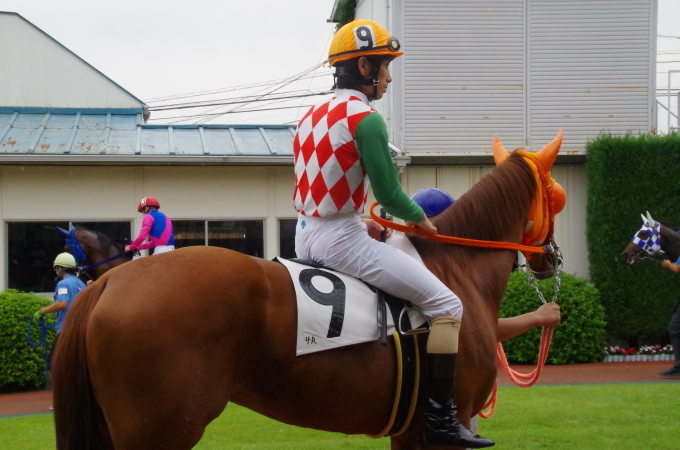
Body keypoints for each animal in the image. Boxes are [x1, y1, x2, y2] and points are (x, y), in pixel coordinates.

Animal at [51, 134, 564, 450]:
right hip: (158, 431)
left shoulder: (408, 433)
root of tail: (110, 282)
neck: (455, 266)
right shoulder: (434, 434)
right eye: (558, 196)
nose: (551, 259)